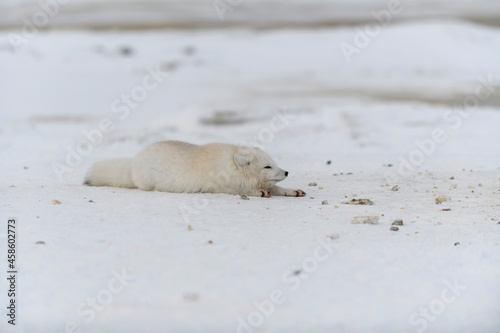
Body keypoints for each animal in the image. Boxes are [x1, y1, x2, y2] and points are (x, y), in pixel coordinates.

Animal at [83, 140, 304, 197]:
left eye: (274, 163)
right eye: (267, 166)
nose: (286, 172)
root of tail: (133, 163)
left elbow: (278, 188)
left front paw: (292, 191)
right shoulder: (220, 186)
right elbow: (240, 190)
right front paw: (259, 192)